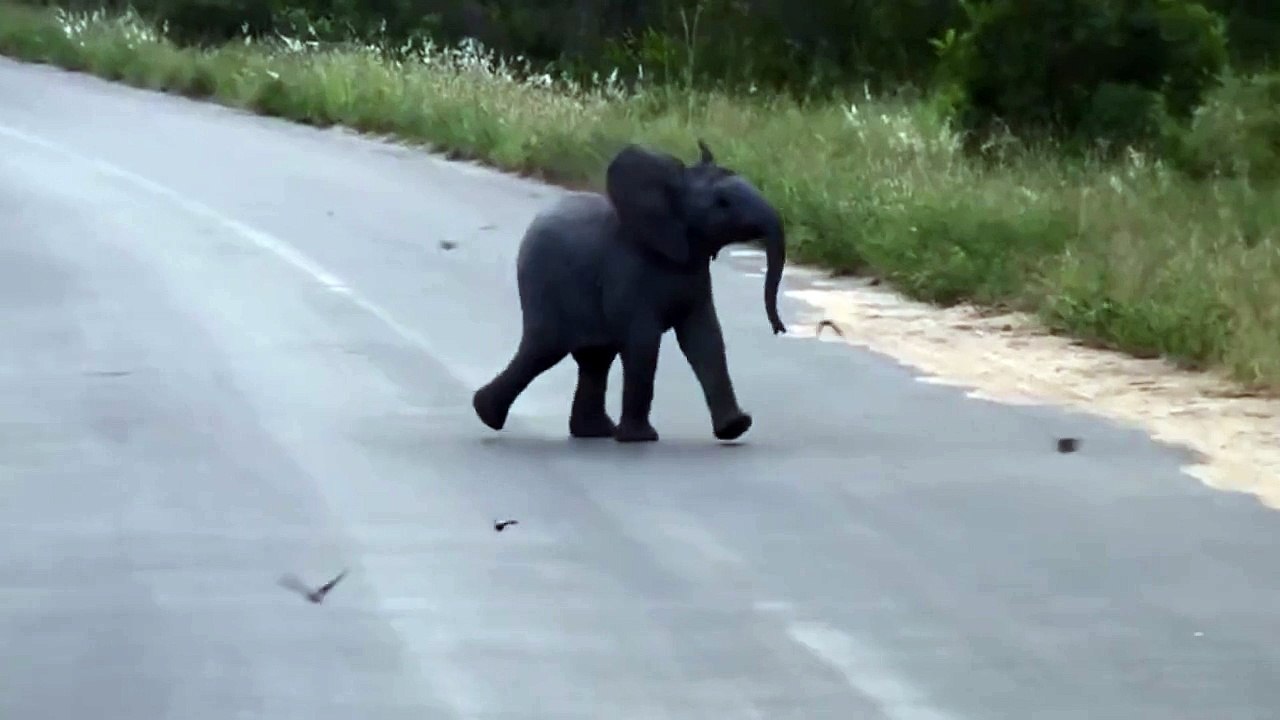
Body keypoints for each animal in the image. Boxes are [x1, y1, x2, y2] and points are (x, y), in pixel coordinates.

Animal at [471, 139, 788, 443]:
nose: (779, 329)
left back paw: (594, 432)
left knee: (594, 359)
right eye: (723, 203)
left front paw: (736, 428)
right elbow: (644, 342)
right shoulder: (627, 273)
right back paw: (486, 413)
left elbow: (705, 337)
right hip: (543, 284)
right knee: (544, 349)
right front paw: (641, 439)